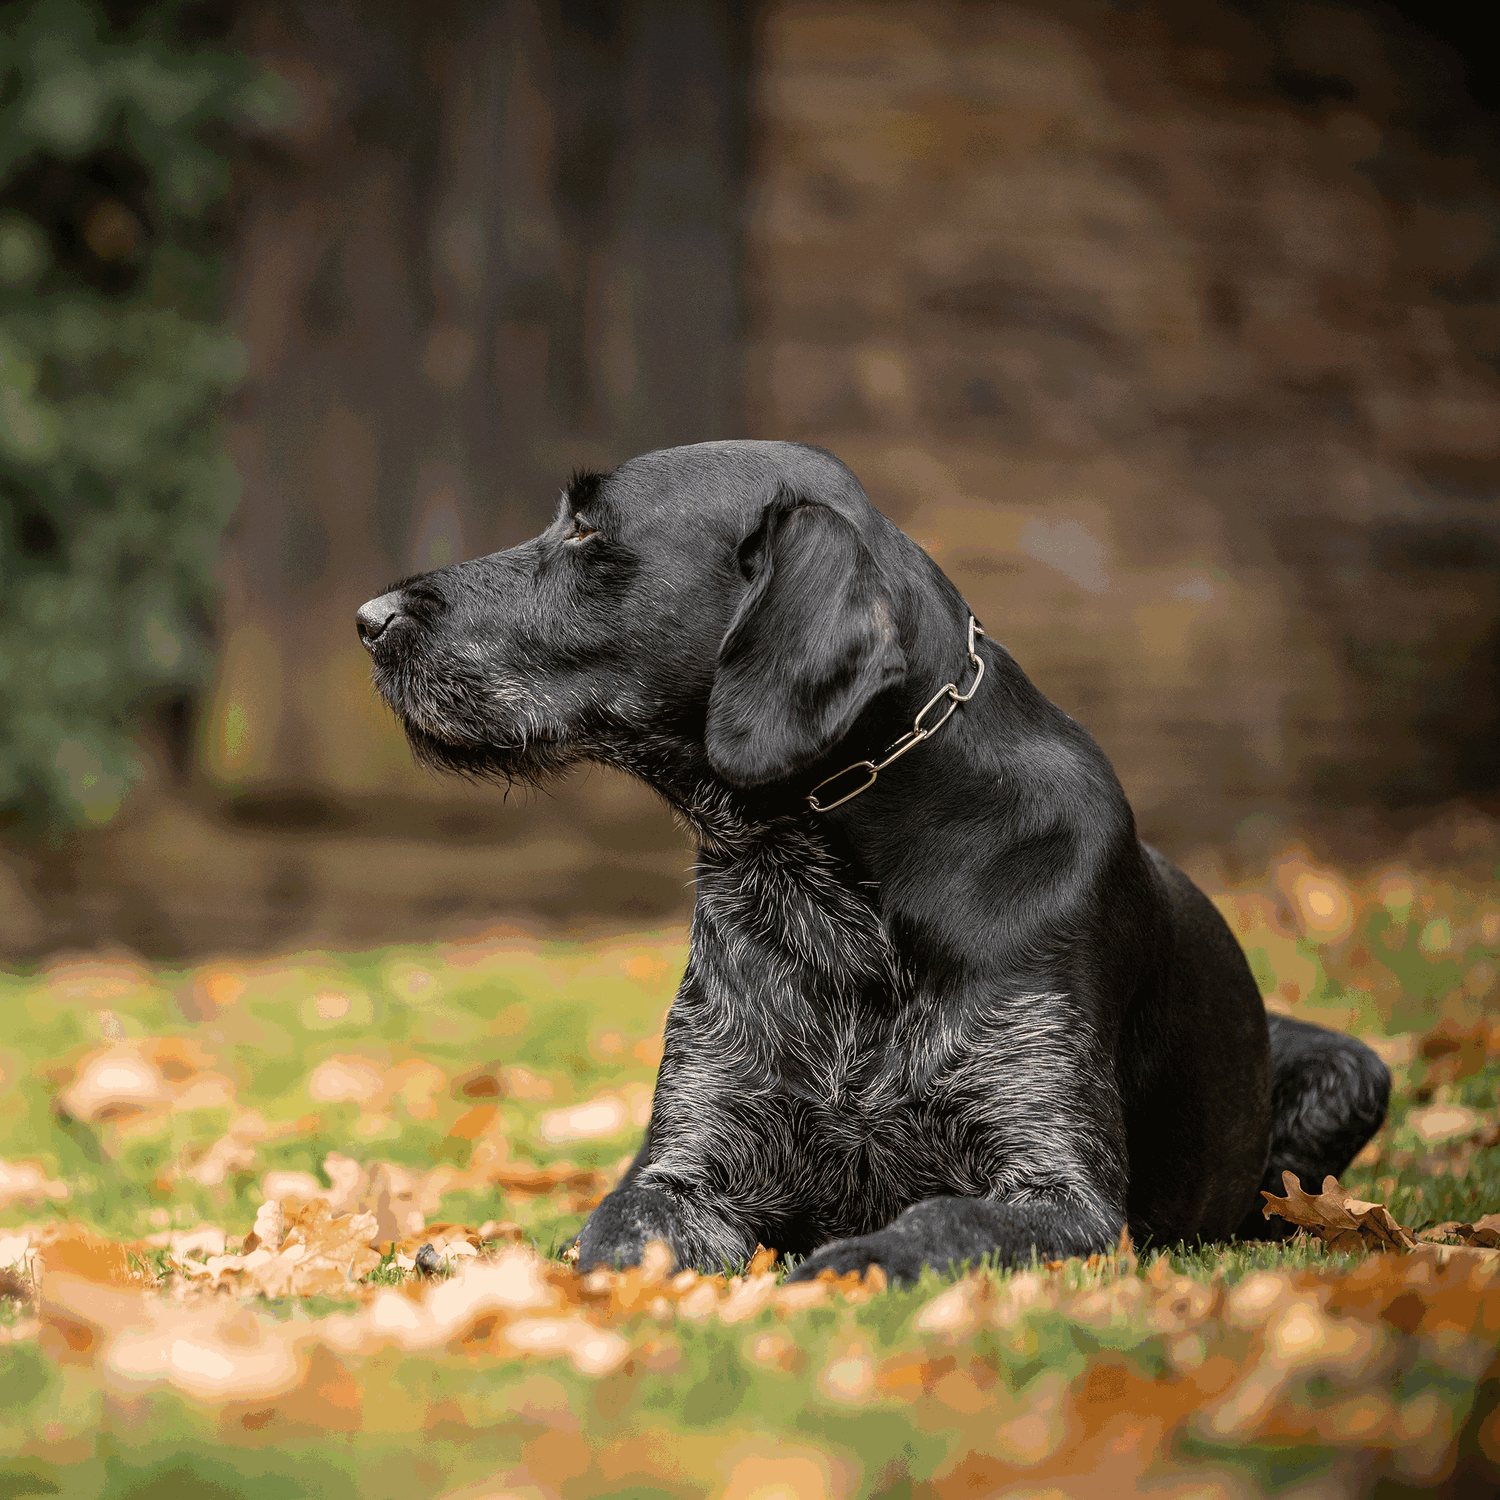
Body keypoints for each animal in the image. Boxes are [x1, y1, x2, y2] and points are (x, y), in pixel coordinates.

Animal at [357, 435, 1386, 1278]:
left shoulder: (1063, 1192)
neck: (827, 882)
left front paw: (853, 1262)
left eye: (586, 533)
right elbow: (618, 1232)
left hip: (1355, 1075)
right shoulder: (686, 1162)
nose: (367, 617)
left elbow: (942, 1220)